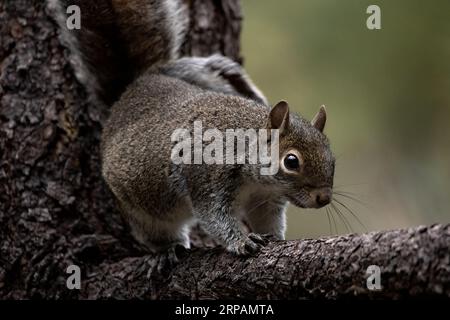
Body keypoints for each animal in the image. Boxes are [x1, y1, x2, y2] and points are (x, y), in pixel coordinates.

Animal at [48, 0, 334, 258]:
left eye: (332, 159)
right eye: (291, 161)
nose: (324, 198)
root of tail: (129, 92)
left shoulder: (266, 199)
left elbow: (267, 220)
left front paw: (275, 238)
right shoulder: (207, 180)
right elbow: (215, 218)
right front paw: (242, 242)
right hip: (144, 213)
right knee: (157, 232)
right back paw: (168, 249)